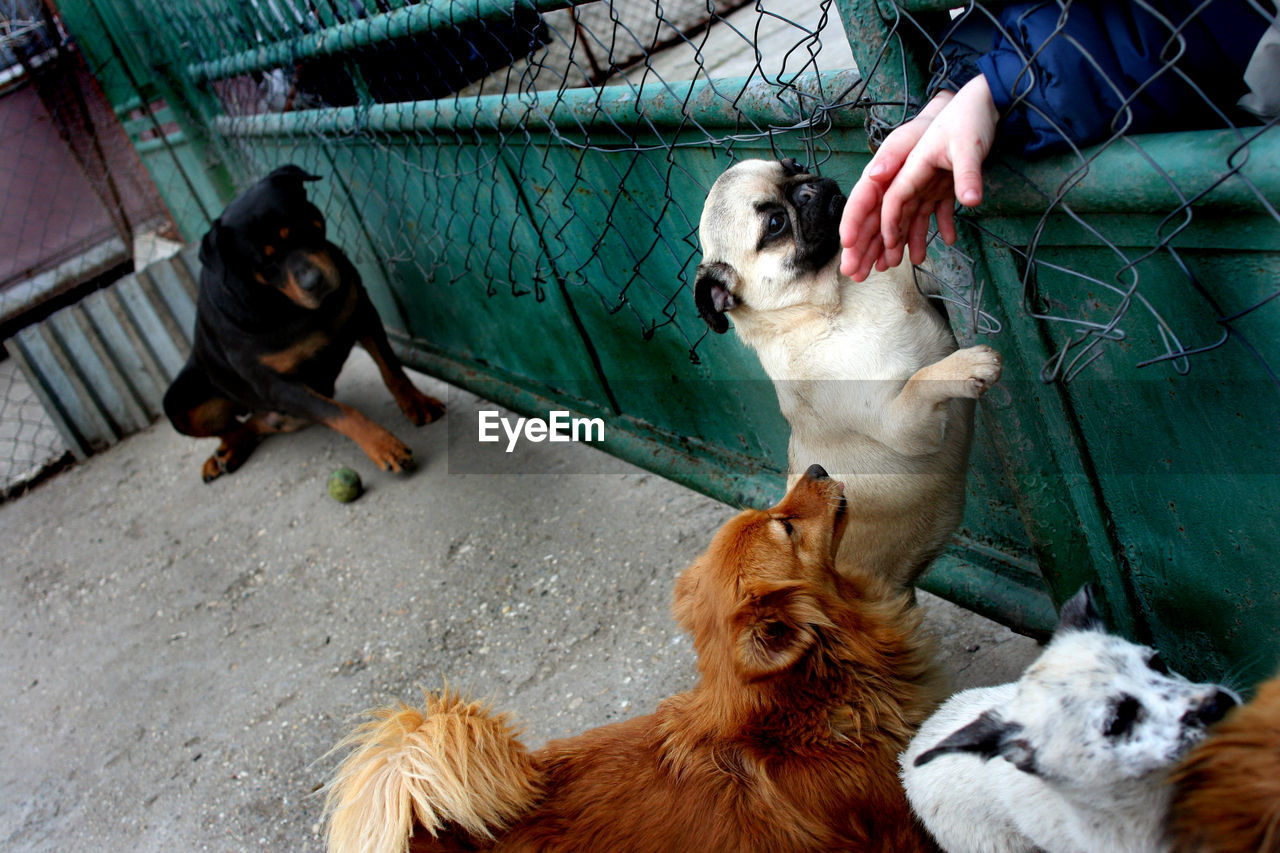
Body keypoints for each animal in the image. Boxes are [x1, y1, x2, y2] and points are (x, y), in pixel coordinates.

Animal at [165, 163, 445, 479]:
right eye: (265, 263)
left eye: (300, 229)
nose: (314, 282)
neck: (289, 306)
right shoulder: (278, 385)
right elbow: (340, 412)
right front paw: (383, 445)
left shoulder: (363, 311)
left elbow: (392, 369)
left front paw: (417, 402)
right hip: (177, 404)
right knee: (230, 426)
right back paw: (224, 451)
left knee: (252, 424)